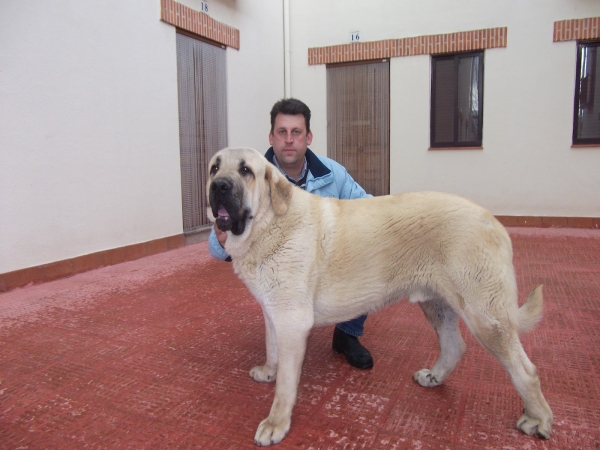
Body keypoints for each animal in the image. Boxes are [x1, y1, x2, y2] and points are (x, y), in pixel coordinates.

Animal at [209, 148, 556, 446]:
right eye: (214, 167)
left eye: (245, 170)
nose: (219, 186)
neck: (270, 223)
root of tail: (493, 220)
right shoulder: (273, 311)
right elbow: (272, 349)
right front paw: (268, 371)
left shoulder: (292, 322)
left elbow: (285, 384)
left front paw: (276, 423)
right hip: (436, 304)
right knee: (454, 346)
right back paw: (434, 376)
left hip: (485, 316)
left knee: (526, 370)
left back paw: (538, 420)